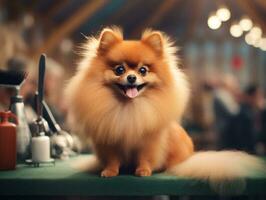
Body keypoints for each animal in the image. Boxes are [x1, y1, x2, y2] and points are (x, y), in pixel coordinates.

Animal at [65, 27, 266, 193]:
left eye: (143, 70)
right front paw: (109, 171)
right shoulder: (109, 141)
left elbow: (145, 157)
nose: (131, 77)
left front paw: (143, 171)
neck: (129, 108)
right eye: (119, 69)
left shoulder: (149, 142)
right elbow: (112, 159)